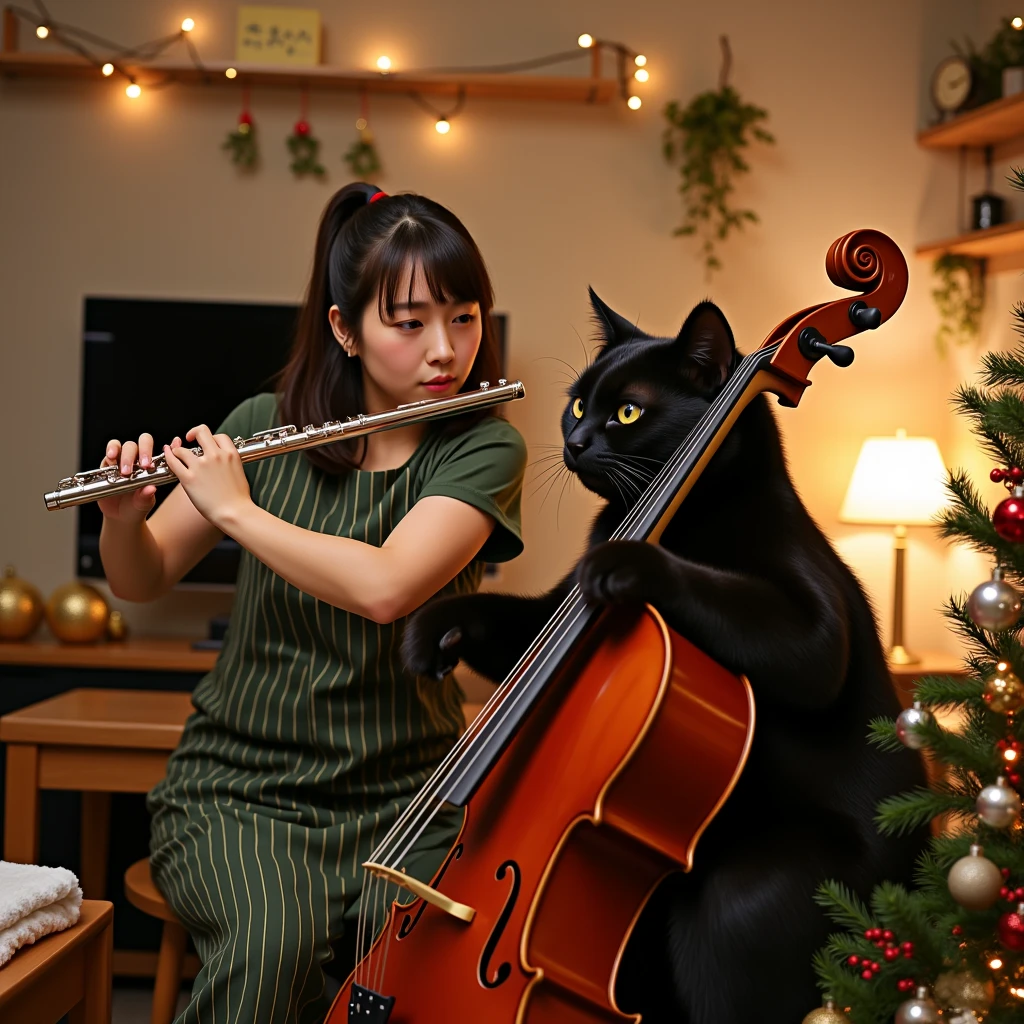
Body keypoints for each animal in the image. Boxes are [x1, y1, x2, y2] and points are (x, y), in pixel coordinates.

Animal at [399, 290, 929, 1024]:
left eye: (627, 413)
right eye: (576, 406)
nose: (575, 443)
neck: (682, 513)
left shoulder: (816, 629)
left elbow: (796, 646)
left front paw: (625, 563)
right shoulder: (550, 608)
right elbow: (512, 626)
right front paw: (428, 630)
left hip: (765, 907)